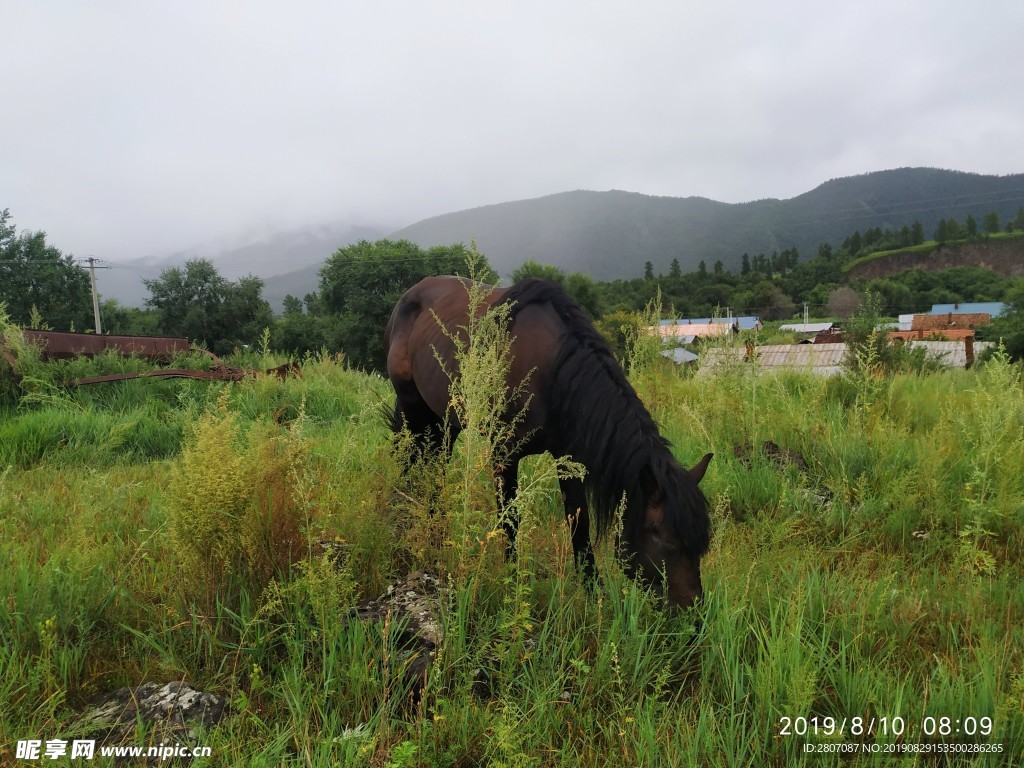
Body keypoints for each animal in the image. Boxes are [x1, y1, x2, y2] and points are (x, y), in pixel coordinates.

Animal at [385, 274, 712, 606]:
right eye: (663, 538)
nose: (693, 608)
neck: (552, 372)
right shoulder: (504, 454)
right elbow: (510, 521)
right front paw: (511, 584)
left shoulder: (569, 458)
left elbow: (579, 523)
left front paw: (592, 591)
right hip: (414, 409)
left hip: (445, 421)